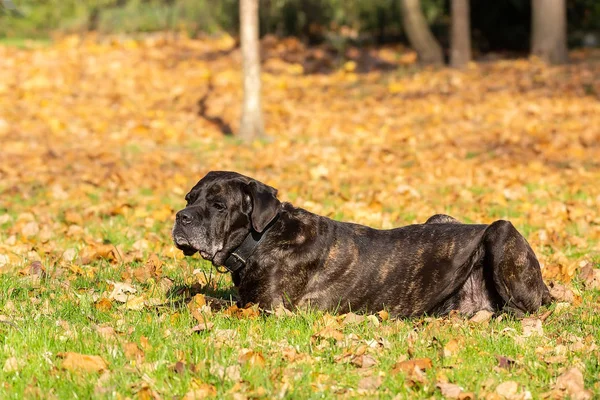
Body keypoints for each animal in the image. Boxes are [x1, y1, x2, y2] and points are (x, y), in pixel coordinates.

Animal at [171, 170, 552, 318]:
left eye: (219, 205)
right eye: (189, 198)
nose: (181, 217)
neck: (261, 237)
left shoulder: (270, 309)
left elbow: (214, 303)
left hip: (500, 231)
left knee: (520, 310)